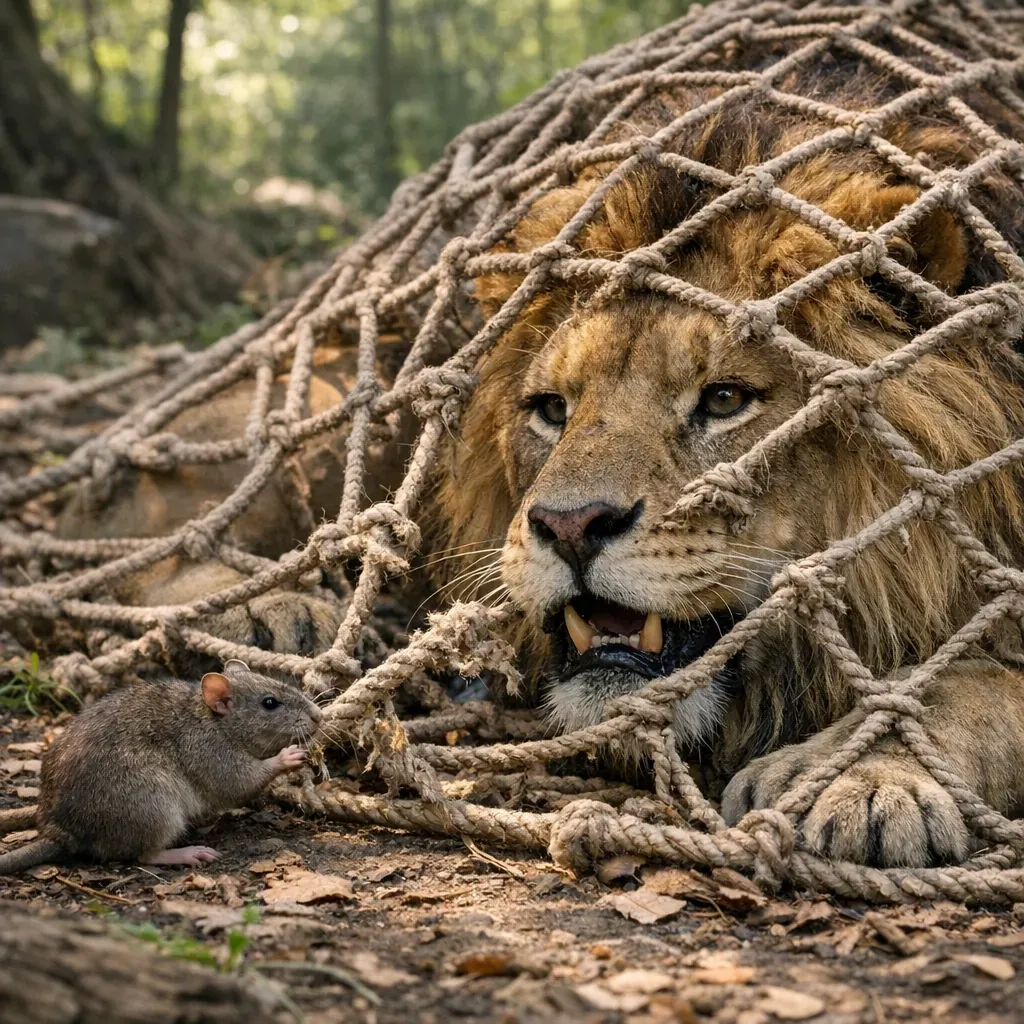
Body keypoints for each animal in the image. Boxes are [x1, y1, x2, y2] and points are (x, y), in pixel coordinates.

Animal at [56, 47, 1024, 868]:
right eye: (552, 410)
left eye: (723, 400)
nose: (568, 525)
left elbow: (974, 680)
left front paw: (862, 774)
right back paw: (262, 613)